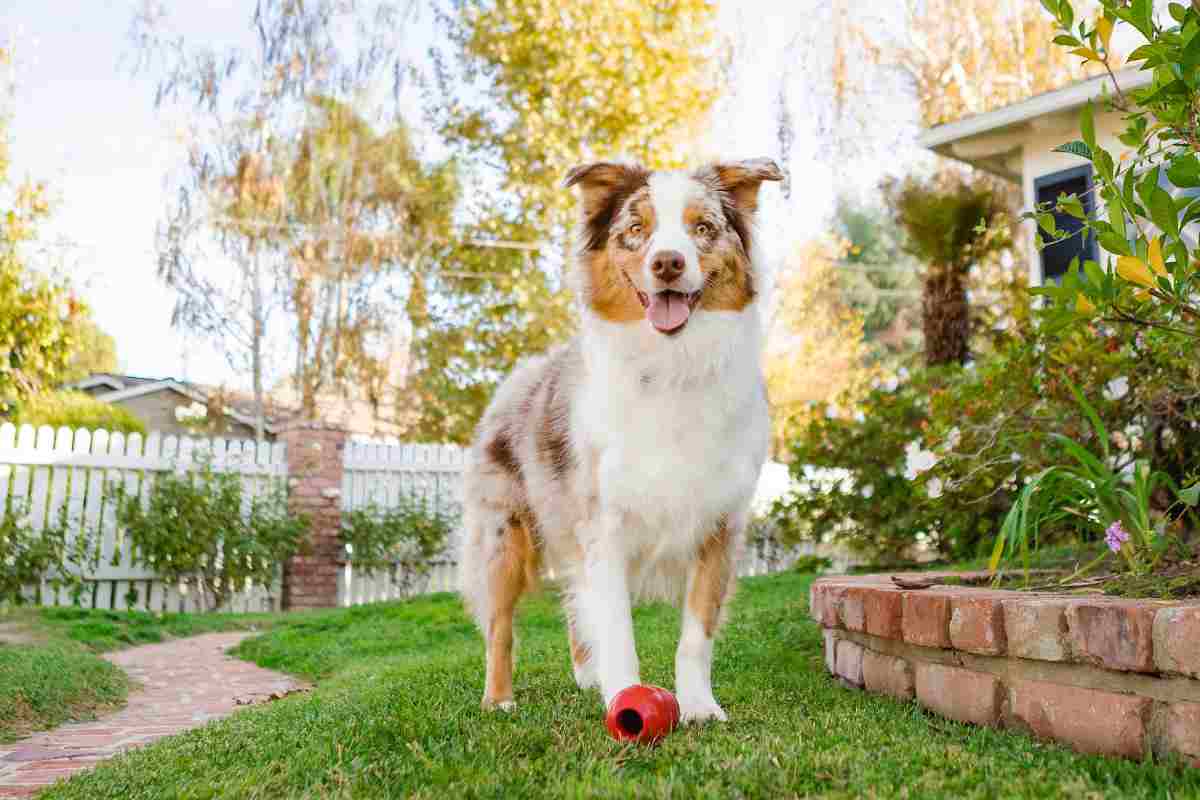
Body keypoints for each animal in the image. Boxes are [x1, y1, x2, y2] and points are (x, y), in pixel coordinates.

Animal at [456, 154, 777, 719]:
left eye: (703, 228)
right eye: (635, 229)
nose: (668, 263)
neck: (672, 366)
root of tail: (521, 374)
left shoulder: (719, 525)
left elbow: (695, 635)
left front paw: (698, 707)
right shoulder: (603, 526)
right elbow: (618, 629)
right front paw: (626, 699)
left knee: (571, 607)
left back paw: (587, 677)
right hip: (502, 534)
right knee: (500, 626)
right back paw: (498, 700)